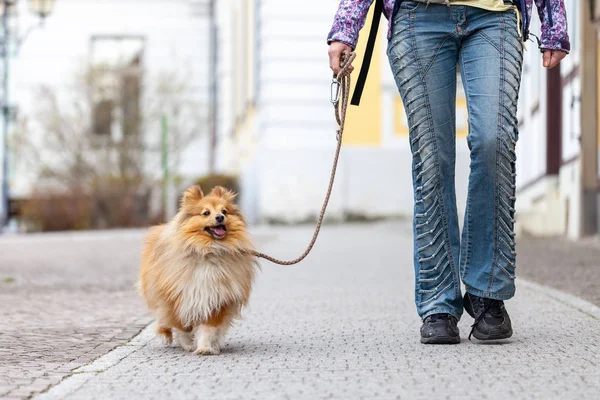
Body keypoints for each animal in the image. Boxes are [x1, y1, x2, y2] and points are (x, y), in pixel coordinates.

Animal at [139, 186, 258, 354]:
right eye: (206, 213)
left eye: (224, 211)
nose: (220, 217)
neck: (208, 251)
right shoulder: (177, 298)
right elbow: (183, 326)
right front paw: (188, 343)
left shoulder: (216, 299)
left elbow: (208, 328)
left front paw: (205, 347)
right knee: (163, 317)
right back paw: (165, 335)